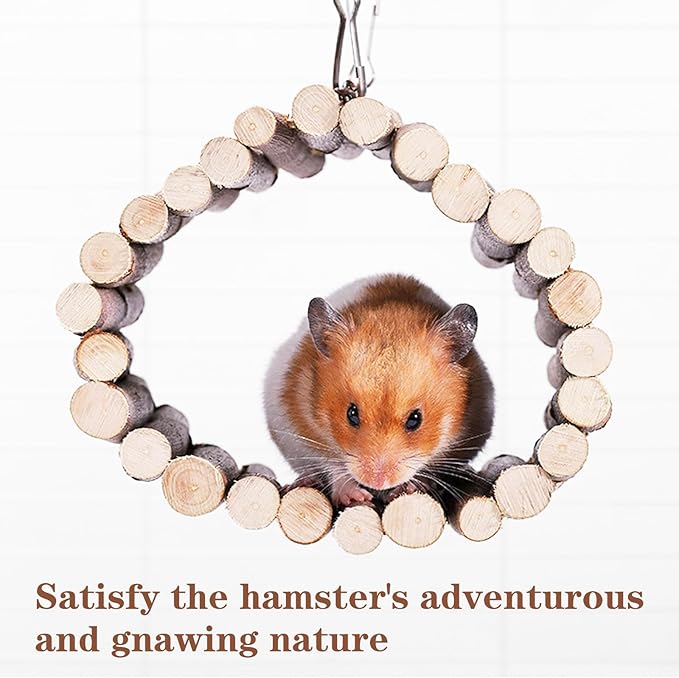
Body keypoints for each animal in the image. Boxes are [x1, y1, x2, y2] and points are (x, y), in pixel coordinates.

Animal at [264, 274, 494, 508]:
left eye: (415, 420)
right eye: (351, 414)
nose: (377, 482)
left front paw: (409, 487)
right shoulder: (300, 432)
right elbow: (332, 465)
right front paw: (355, 495)